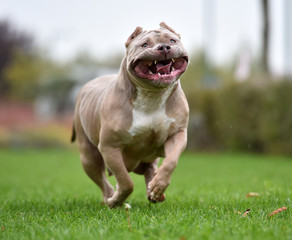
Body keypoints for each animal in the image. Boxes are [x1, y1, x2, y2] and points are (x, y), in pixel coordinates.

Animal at [71, 21, 189, 207]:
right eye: (145, 45)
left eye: (172, 40)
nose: (164, 47)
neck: (152, 95)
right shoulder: (110, 147)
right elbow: (126, 182)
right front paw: (116, 200)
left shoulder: (177, 134)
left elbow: (170, 161)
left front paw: (158, 185)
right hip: (88, 156)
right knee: (104, 180)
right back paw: (110, 199)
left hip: (149, 158)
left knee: (150, 168)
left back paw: (154, 191)